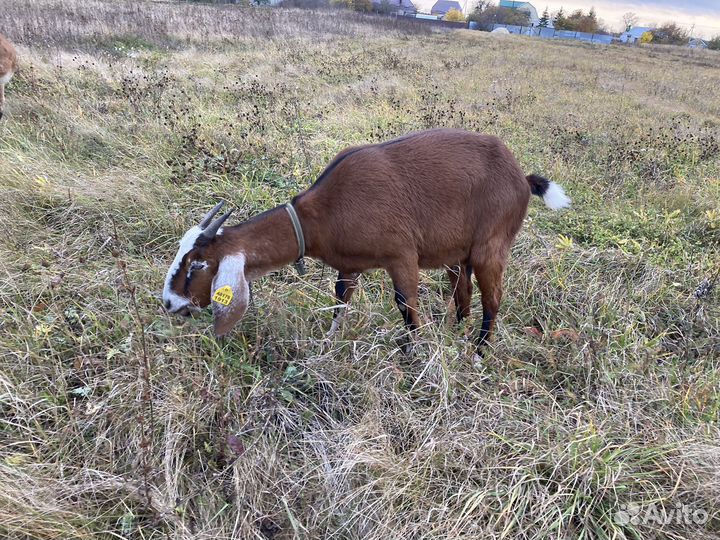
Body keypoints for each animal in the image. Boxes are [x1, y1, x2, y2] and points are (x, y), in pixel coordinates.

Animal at [162, 128, 570, 351]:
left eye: (198, 265)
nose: (168, 303)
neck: (319, 215)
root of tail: (521, 177)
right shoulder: (349, 265)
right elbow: (340, 302)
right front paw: (328, 344)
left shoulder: (402, 255)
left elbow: (406, 307)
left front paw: (415, 355)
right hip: (459, 253)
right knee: (462, 293)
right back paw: (456, 332)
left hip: (491, 244)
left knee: (492, 298)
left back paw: (480, 350)